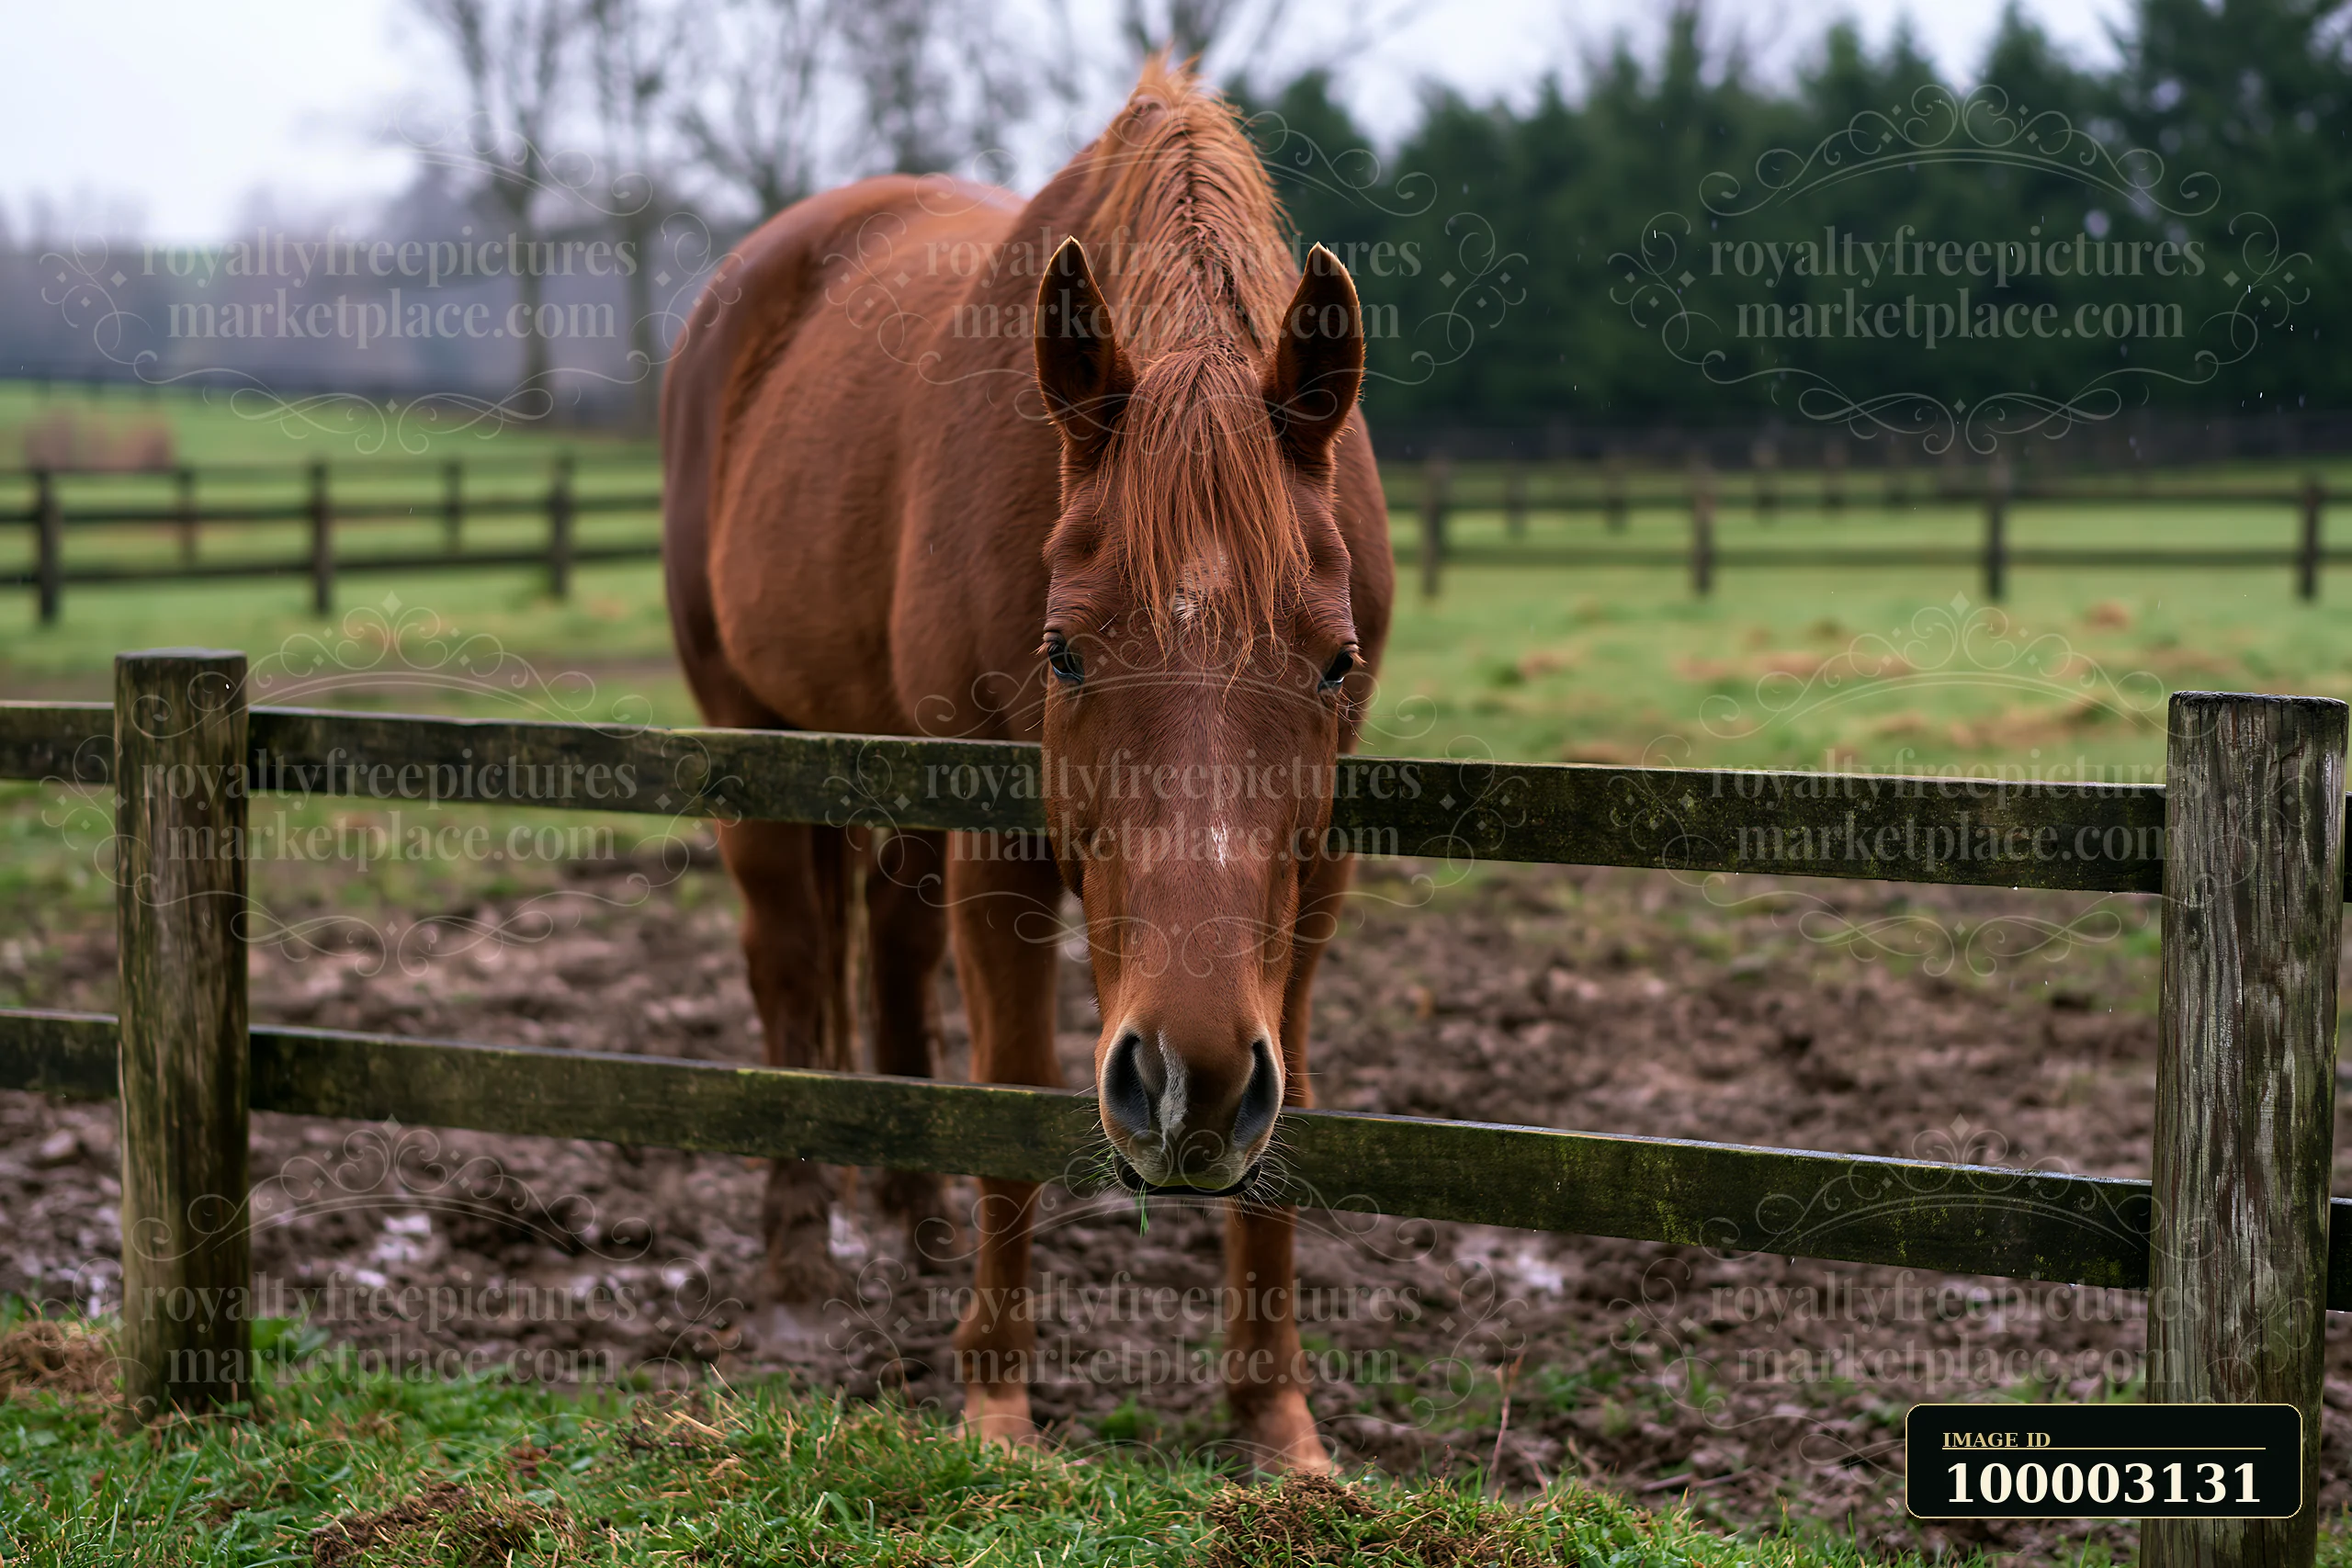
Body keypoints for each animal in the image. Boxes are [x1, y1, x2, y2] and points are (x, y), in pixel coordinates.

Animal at [660, 58, 1393, 1472]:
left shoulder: (1315, 877)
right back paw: (799, 1271)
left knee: (887, 955)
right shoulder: (1000, 855)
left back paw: (912, 1216)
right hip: (752, 741)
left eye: (1334, 662)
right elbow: (1009, 1099)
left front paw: (1278, 1420)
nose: (1188, 1083)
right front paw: (996, 1405)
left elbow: (1288, 1127)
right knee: (790, 971)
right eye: (1063, 651)